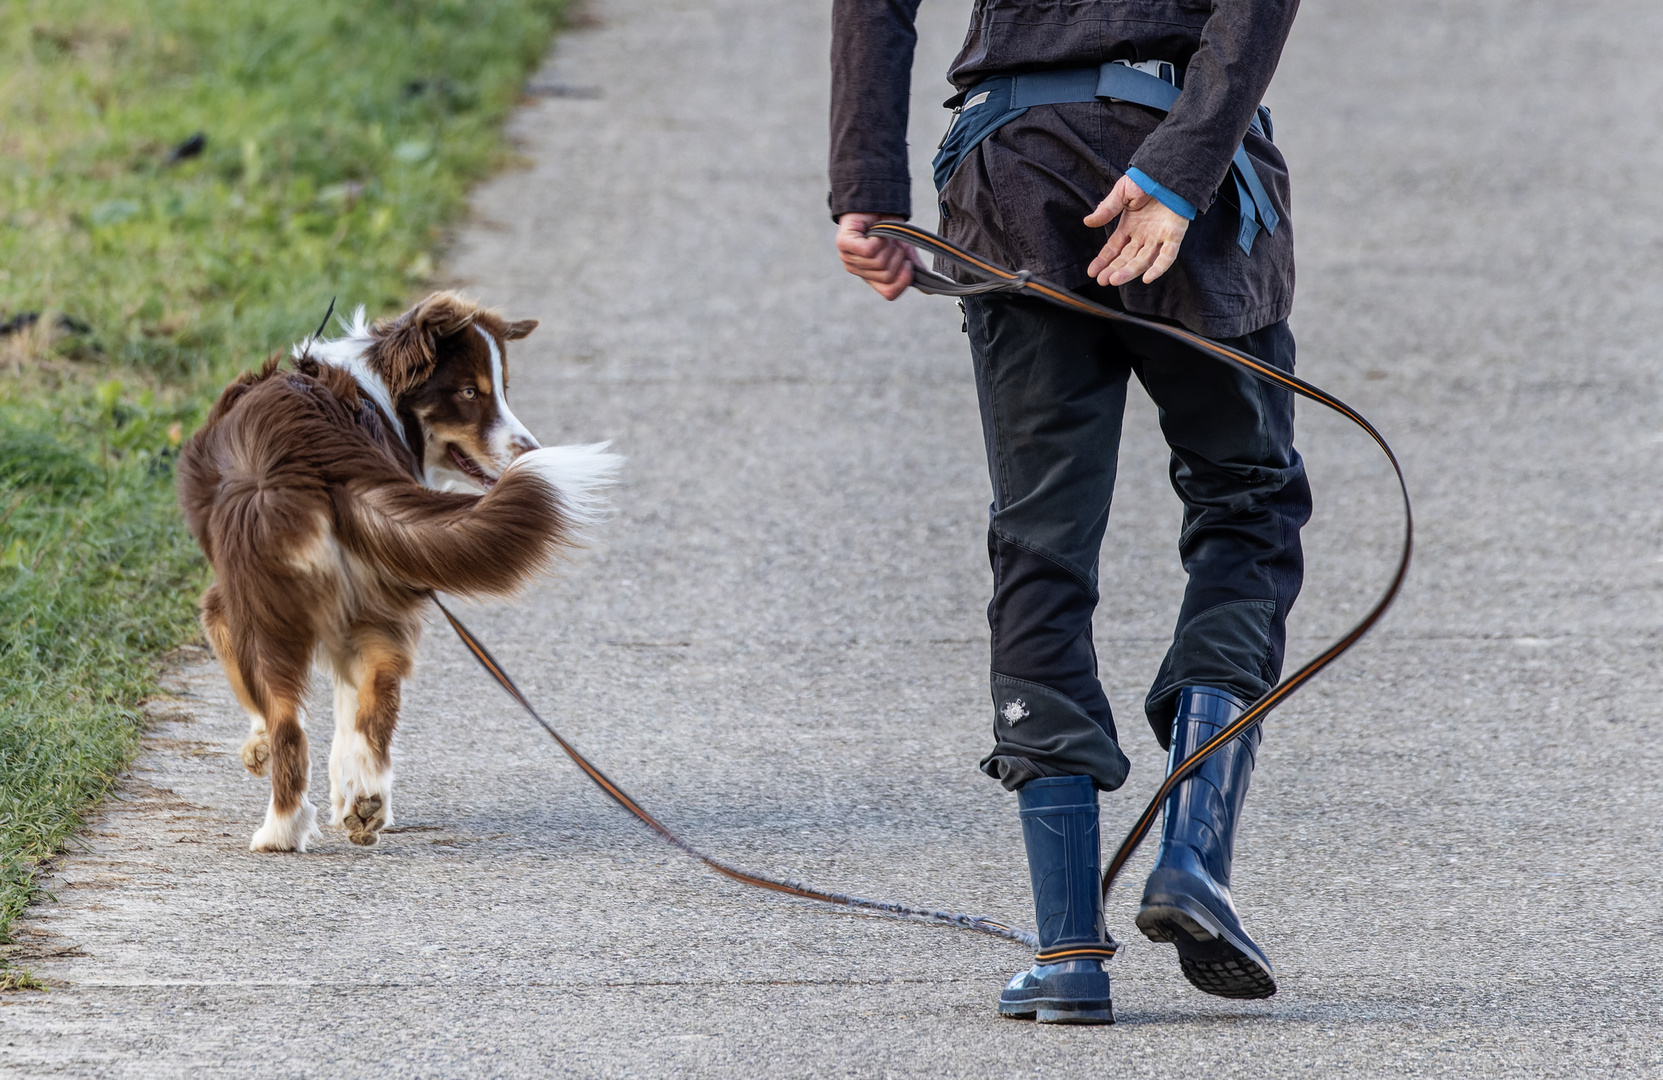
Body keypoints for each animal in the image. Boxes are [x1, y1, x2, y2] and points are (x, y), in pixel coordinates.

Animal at [177, 292, 618, 852]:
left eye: (498, 391)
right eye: (470, 392)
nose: (533, 451)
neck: (374, 393)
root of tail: (317, 451)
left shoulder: (223, 602)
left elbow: (243, 678)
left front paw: (258, 749)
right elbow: (347, 714)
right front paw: (348, 794)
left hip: (266, 605)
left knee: (289, 724)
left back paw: (280, 830)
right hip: (376, 601)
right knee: (378, 697)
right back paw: (367, 799)